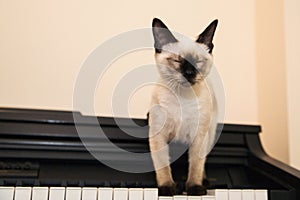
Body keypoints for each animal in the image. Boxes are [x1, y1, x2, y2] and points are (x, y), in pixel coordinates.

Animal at [149, 18, 218, 196]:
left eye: (197, 62)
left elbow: (195, 166)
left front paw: (194, 188)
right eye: (178, 60)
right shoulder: (159, 137)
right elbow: (163, 167)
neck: (182, 99)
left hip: (209, 136)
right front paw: (166, 188)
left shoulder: (198, 137)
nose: (189, 73)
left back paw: (203, 182)